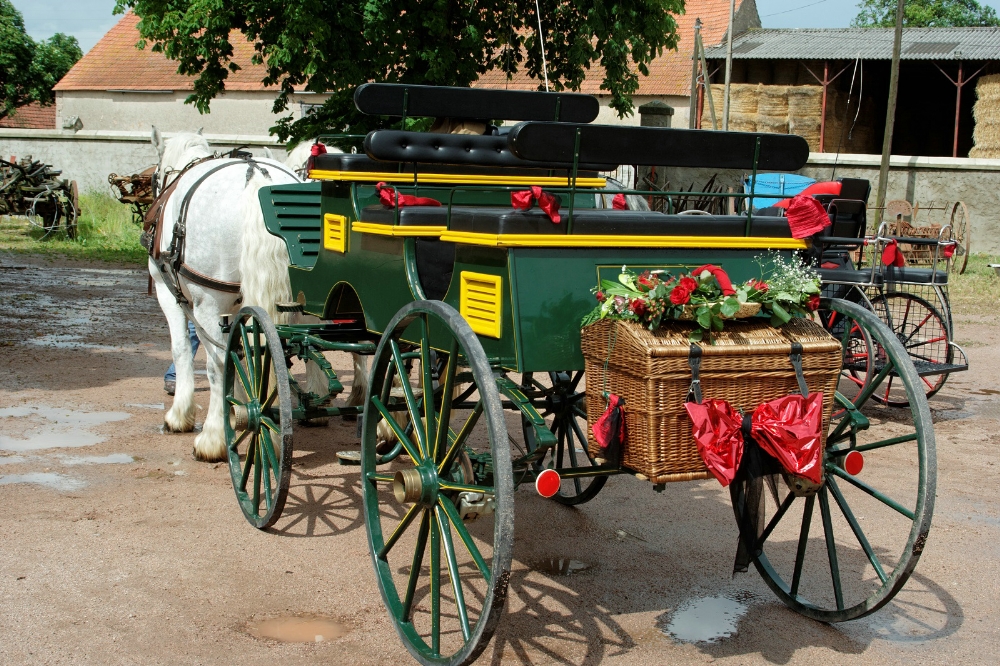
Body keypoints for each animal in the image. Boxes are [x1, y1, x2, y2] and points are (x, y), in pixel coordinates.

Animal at [150, 130, 300, 462]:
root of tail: (257, 175)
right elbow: (243, 351)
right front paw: (238, 408)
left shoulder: (169, 294)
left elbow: (182, 349)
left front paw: (180, 416)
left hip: (208, 303)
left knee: (216, 364)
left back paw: (213, 439)